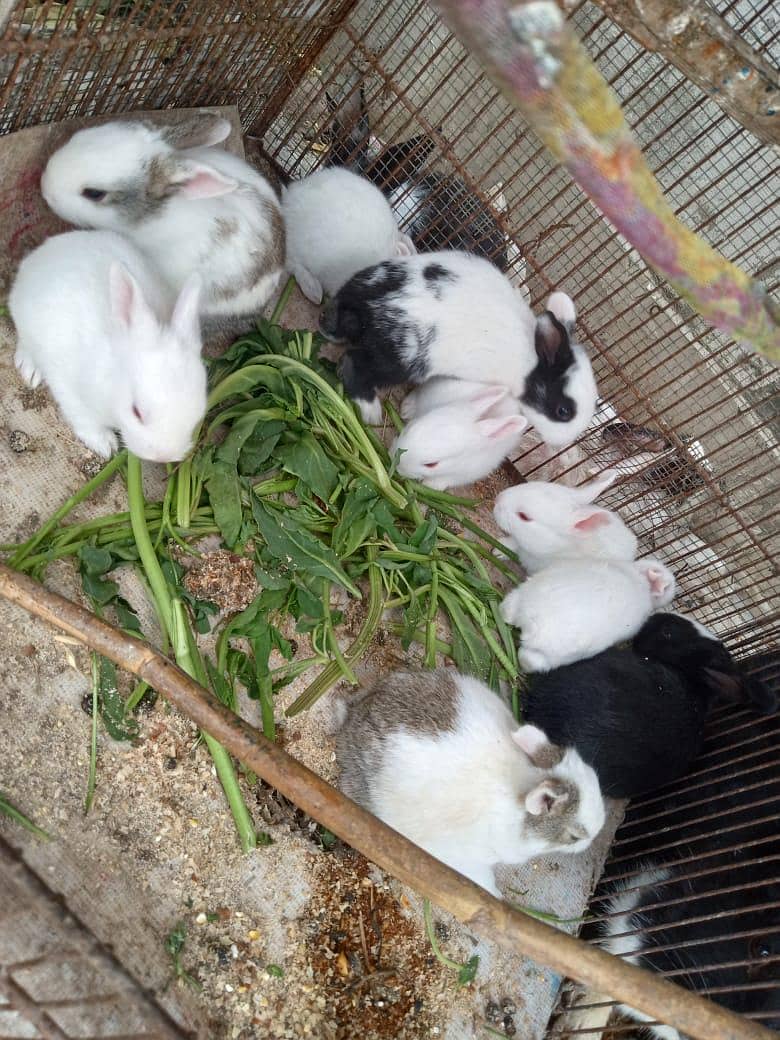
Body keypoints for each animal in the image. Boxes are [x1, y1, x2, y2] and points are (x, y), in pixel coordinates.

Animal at [8, 230, 207, 462]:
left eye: (197, 415)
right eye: (136, 412)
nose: (162, 456)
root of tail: (42, 253)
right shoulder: (69, 389)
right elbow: (84, 419)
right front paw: (105, 445)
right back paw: (30, 369)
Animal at [320, 251, 597, 440]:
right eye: (563, 411)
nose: (563, 441)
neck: (529, 364)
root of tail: (367, 301)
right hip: (397, 360)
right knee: (354, 365)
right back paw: (371, 412)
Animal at [393, 385, 528, 489]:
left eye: (431, 464)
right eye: (410, 428)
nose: (398, 467)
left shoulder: (468, 473)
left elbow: (447, 479)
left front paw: (430, 485)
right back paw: (407, 408)